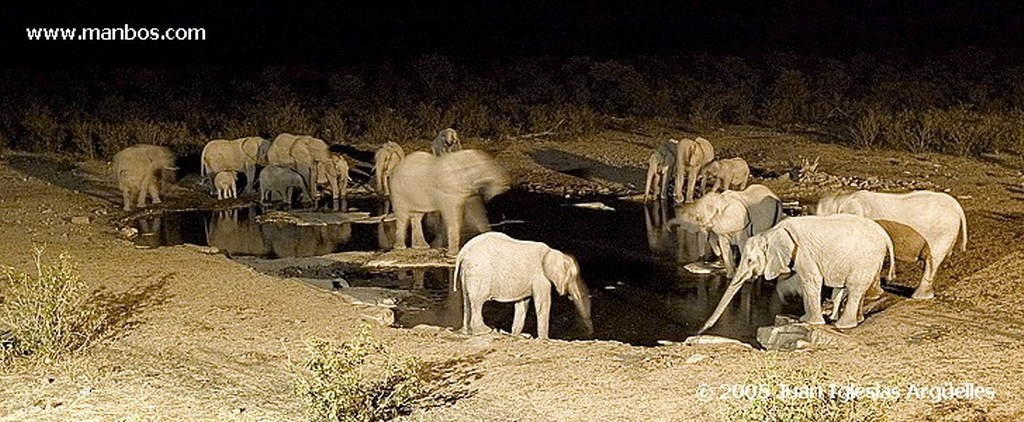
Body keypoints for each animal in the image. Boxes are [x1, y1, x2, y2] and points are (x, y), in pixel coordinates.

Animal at [454, 230, 593, 340]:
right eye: (573, 276)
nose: (589, 333)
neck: (553, 252)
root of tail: (463, 252)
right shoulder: (540, 277)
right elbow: (543, 304)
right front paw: (544, 339)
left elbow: (522, 304)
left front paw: (516, 335)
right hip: (480, 273)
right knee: (477, 302)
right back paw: (486, 331)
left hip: (468, 273)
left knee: (467, 300)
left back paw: (467, 332)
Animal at [700, 214, 892, 333]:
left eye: (749, 260)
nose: (700, 330)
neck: (772, 232)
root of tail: (885, 236)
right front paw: (804, 317)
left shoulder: (804, 252)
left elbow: (811, 281)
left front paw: (810, 322)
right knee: (859, 290)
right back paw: (855, 320)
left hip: (865, 259)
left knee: (855, 289)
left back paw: (843, 325)